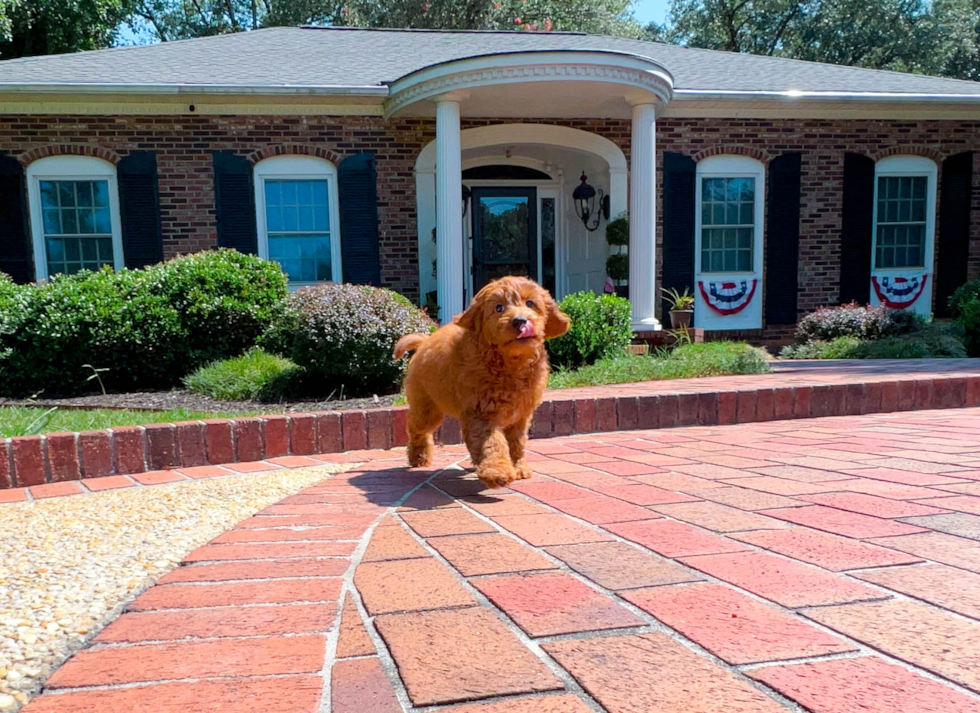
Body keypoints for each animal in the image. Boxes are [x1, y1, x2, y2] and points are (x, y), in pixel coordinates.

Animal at [394, 276, 572, 486]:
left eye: (530, 303)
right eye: (498, 308)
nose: (520, 320)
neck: (510, 362)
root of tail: (423, 343)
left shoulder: (520, 415)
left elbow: (516, 442)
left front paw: (518, 467)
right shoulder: (481, 412)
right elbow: (492, 442)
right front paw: (497, 471)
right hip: (427, 408)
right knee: (416, 427)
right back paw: (418, 456)